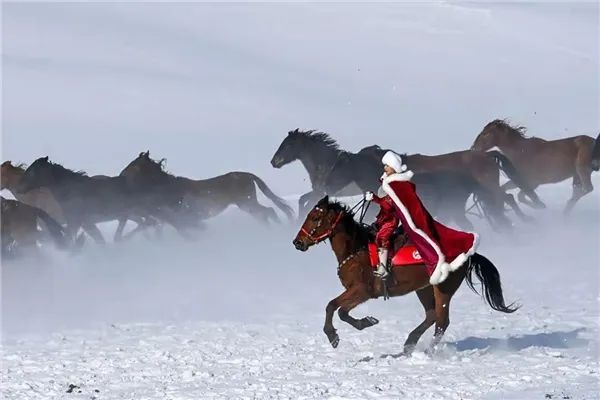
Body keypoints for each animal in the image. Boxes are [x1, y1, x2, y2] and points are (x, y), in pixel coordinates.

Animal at [119, 151, 292, 225]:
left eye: (133, 166)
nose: (121, 174)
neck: (169, 188)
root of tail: (247, 175)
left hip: (247, 203)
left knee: (268, 212)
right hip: (247, 205)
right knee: (265, 214)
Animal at [292, 197, 516, 354]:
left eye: (315, 218)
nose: (297, 242)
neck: (356, 249)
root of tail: (468, 254)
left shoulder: (362, 291)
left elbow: (335, 308)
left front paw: (337, 334)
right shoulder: (355, 291)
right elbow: (337, 309)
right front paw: (361, 323)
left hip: (443, 288)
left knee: (442, 322)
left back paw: (429, 351)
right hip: (424, 288)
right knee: (432, 315)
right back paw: (410, 343)